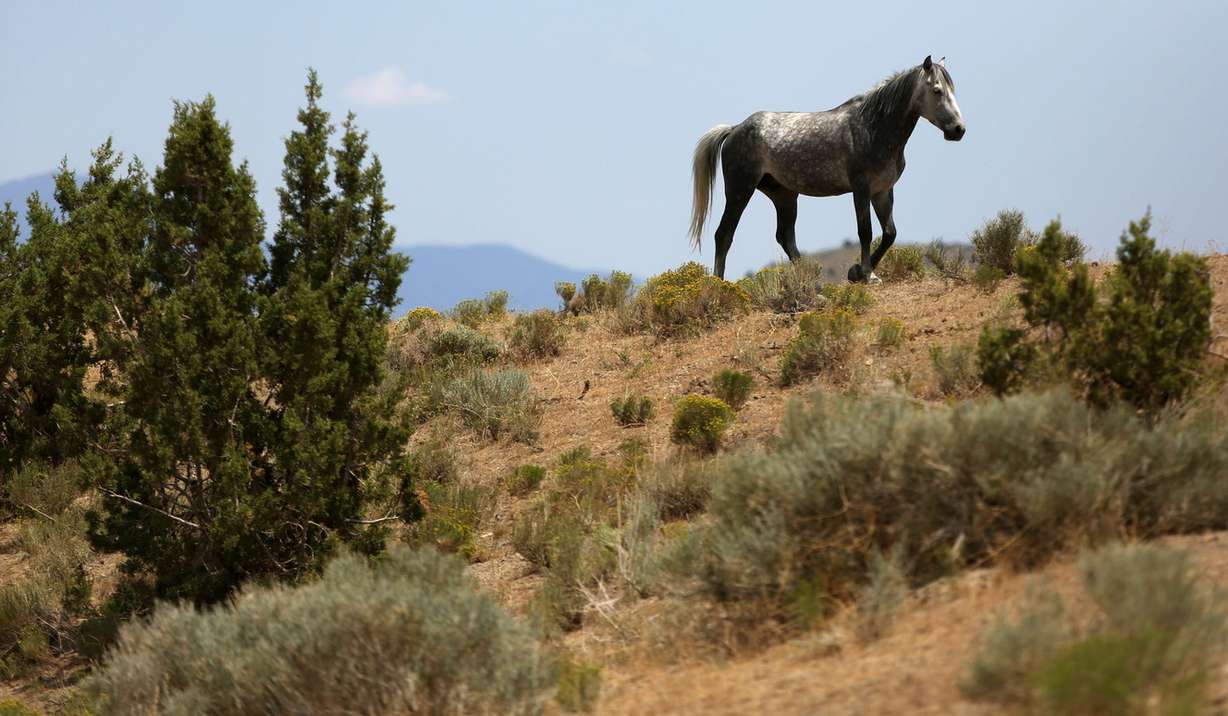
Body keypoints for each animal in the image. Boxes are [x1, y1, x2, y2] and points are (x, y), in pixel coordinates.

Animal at [688, 55, 965, 283]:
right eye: (937, 90)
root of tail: (735, 129)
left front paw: (860, 272)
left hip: (784, 195)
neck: (874, 127)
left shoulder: (883, 191)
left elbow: (889, 234)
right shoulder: (861, 188)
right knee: (724, 235)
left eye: (953, 90)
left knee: (786, 237)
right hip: (740, 190)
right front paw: (866, 275)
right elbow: (865, 231)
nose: (958, 130)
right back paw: (719, 286)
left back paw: (813, 285)